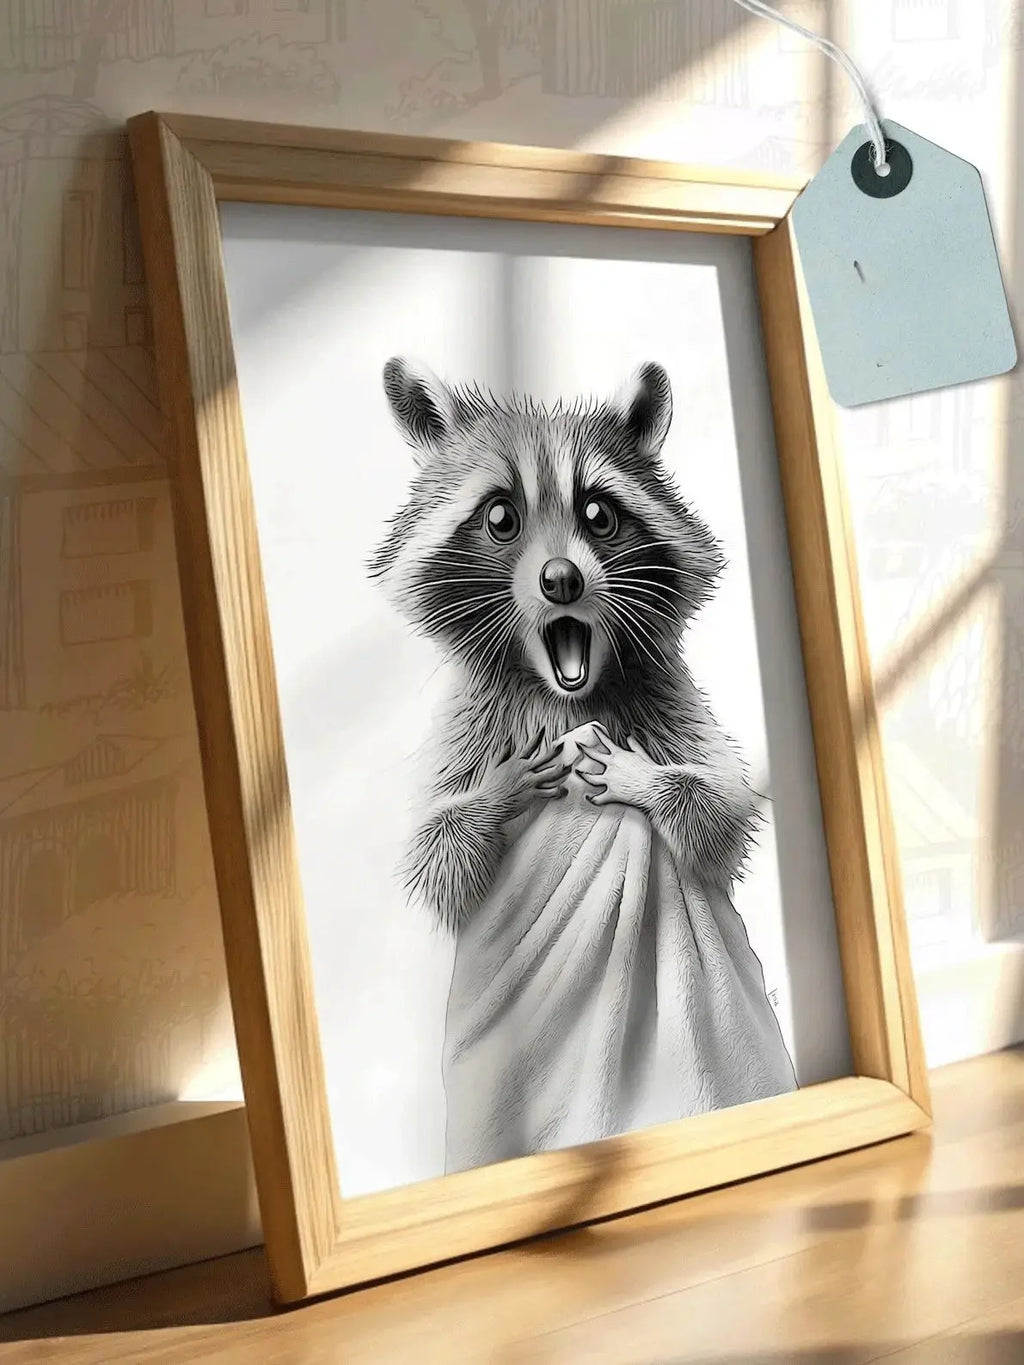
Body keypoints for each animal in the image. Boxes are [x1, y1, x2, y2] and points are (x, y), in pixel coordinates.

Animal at [369, 356, 760, 933]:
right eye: (501, 518)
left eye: (599, 515)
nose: (561, 579)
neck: (564, 696)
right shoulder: (468, 724)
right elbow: (436, 858)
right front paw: (499, 790)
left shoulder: (671, 703)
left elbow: (721, 815)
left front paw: (647, 779)